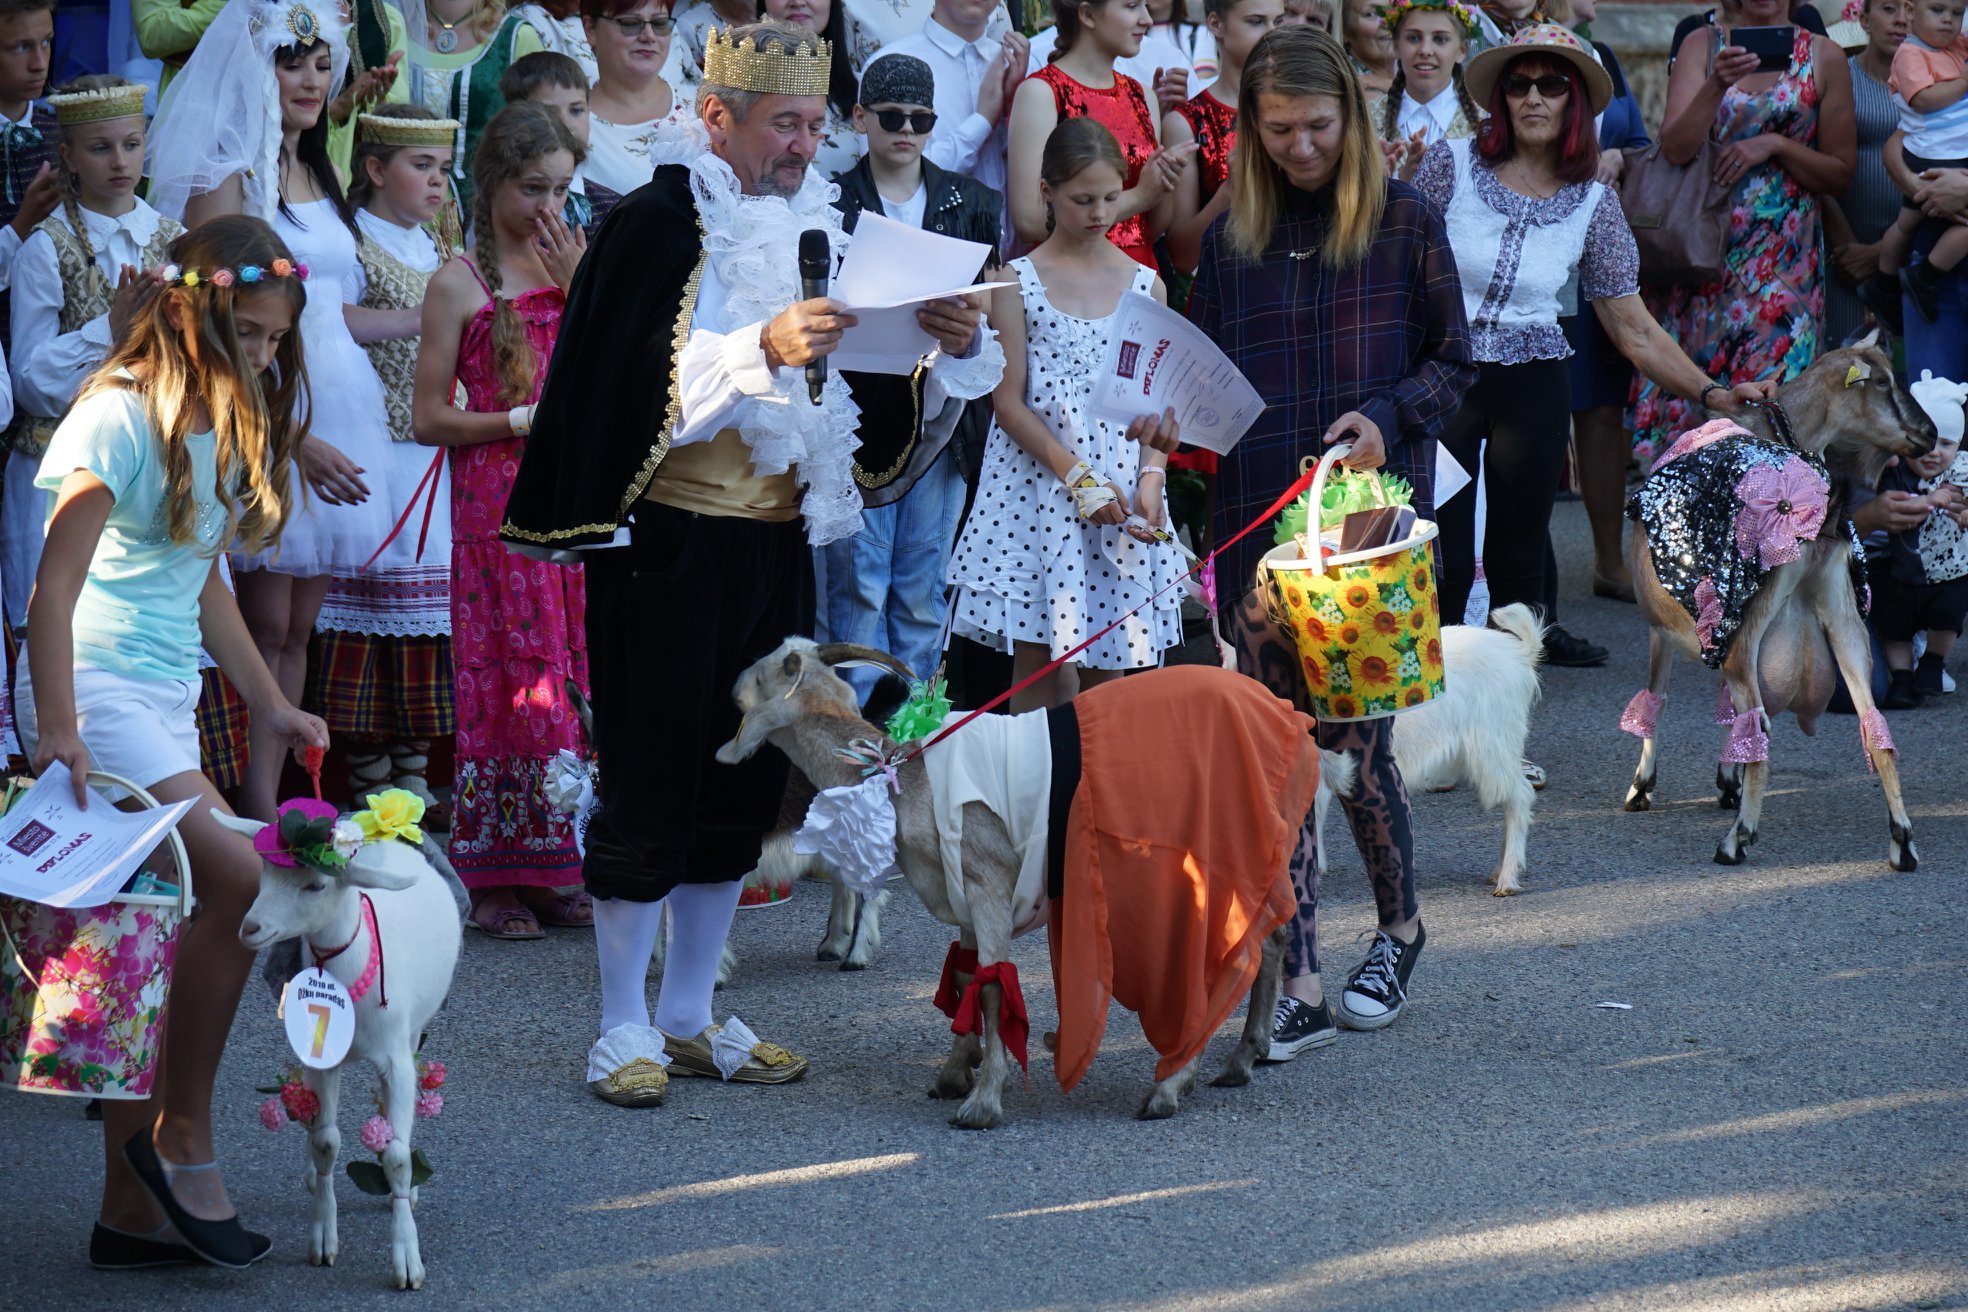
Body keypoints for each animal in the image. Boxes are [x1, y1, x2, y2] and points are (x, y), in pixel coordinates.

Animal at [217, 805, 462, 1290]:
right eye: (264, 872)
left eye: (315, 885)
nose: (251, 928)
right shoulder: (322, 1058)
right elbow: (326, 1142)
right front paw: (322, 1236)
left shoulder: (396, 1059)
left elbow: (398, 1156)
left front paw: (407, 1257)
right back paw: (314, 1175)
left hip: (410, 1034)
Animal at [716, 639, 1336, 1129]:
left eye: (761, 672)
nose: (727, 686)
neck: (900, 777)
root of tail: (1293, 723)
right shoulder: (963, 895)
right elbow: (965, 976)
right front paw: (955, 1072)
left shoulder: (987, 883)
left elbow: (993, 988)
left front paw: (982, 1103)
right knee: (1271, 939)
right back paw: (1240, 1061)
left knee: (1232, 953)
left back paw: (1171, 1085)